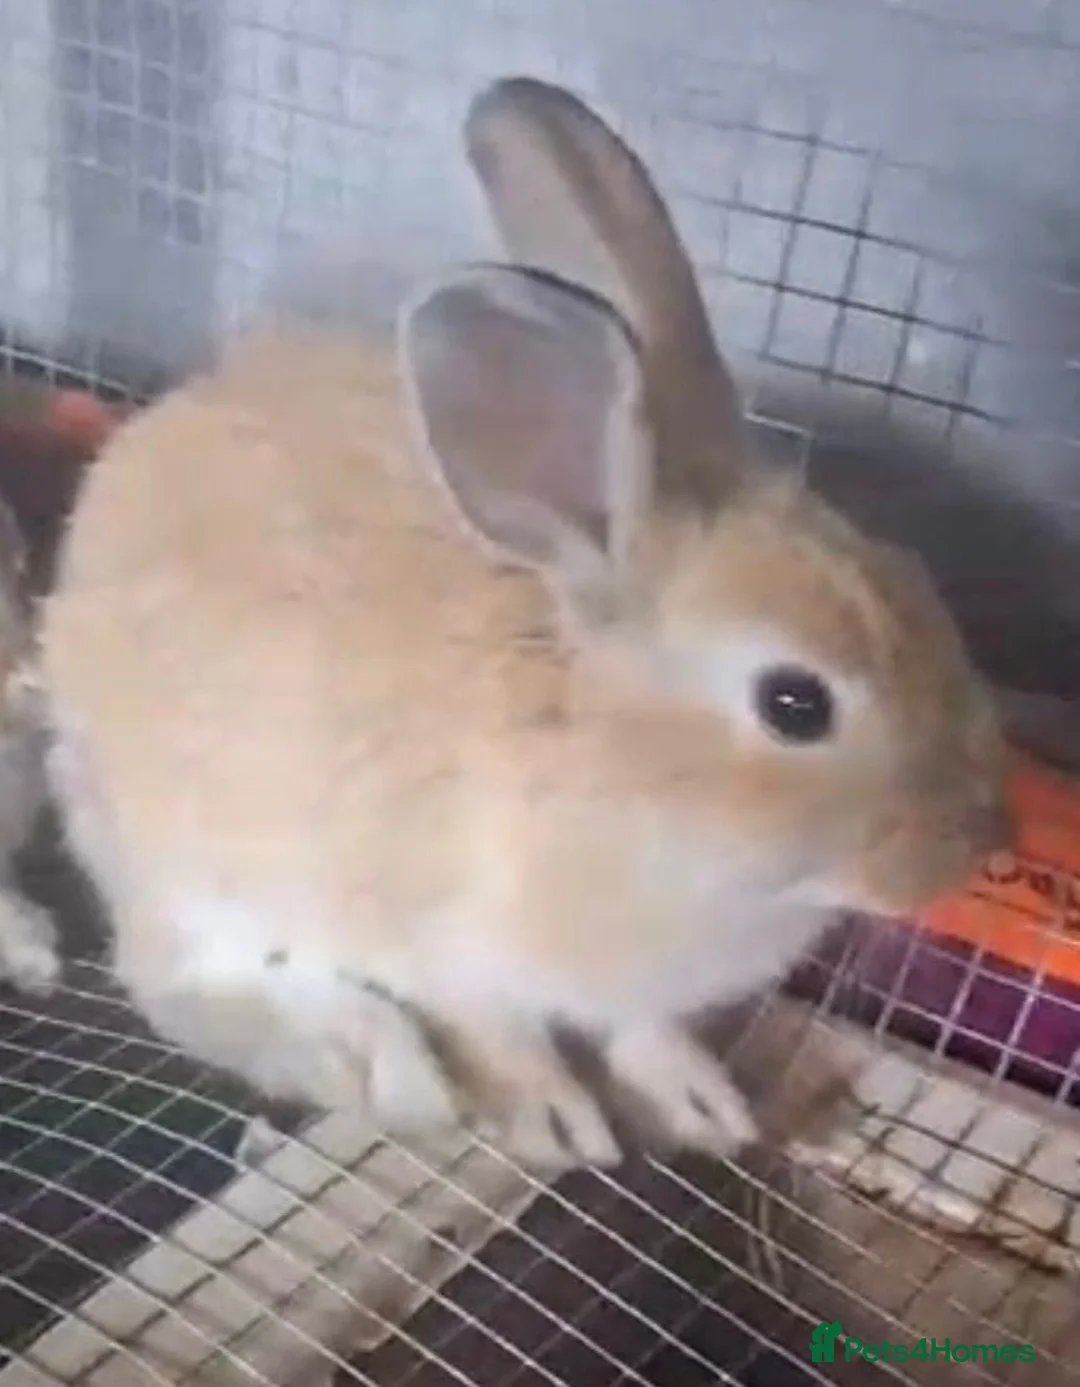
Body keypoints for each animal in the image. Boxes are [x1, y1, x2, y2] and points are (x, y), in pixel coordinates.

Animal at [37, 75, 1010, 1172]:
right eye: (795, 703)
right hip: (206, 873)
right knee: (191, 985)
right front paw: (560, 1123)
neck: (617, 770)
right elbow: (505, 1038)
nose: (986, 835)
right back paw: (376, 1065)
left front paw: (702, 1101)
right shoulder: (452, 952)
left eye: (918, 581)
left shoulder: (633, 990)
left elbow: (643, 1032)